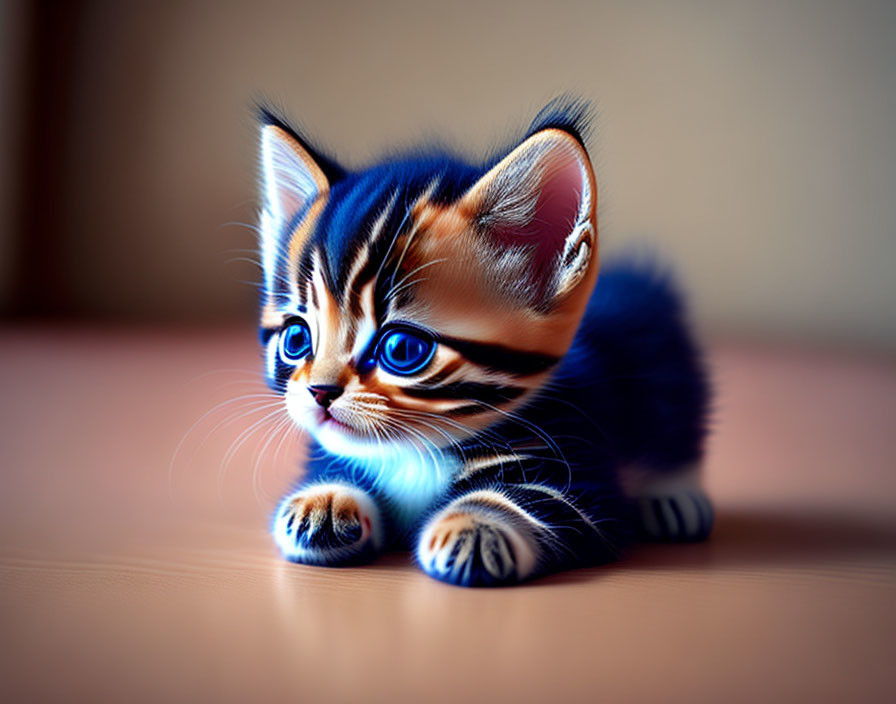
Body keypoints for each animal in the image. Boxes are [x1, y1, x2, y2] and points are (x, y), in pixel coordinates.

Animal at [256, 99, 712, 584]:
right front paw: (321, 502)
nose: (319, 392)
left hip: (669, 374)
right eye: (297, 337)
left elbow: (540, 501)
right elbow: (337, 467)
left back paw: (674, 497)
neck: (412, 455)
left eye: (402, 350)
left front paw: (476, 526)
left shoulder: (586, 481)